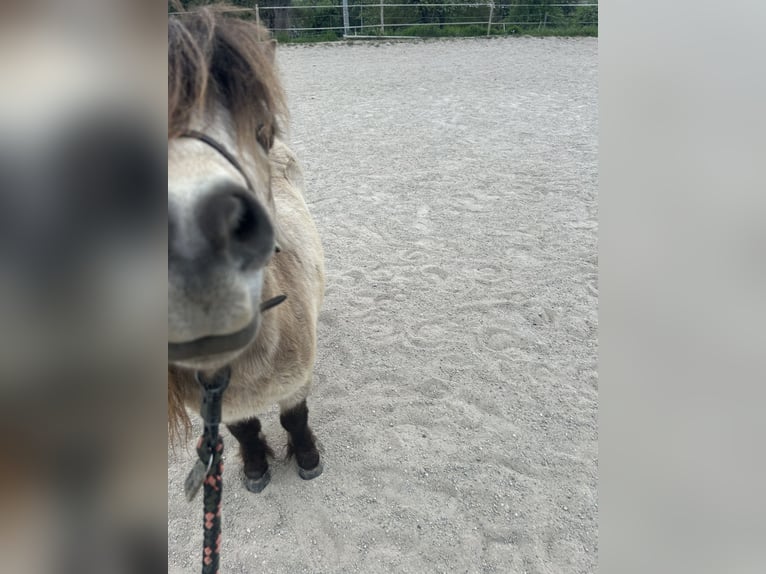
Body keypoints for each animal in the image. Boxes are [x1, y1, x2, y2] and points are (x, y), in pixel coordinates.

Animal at [167, 7, 325, 493]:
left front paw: (308, 459)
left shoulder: (296, 381)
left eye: (262, 132)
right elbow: (245, 430)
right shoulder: (224, 405)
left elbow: (294, 418)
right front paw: (256, 467)